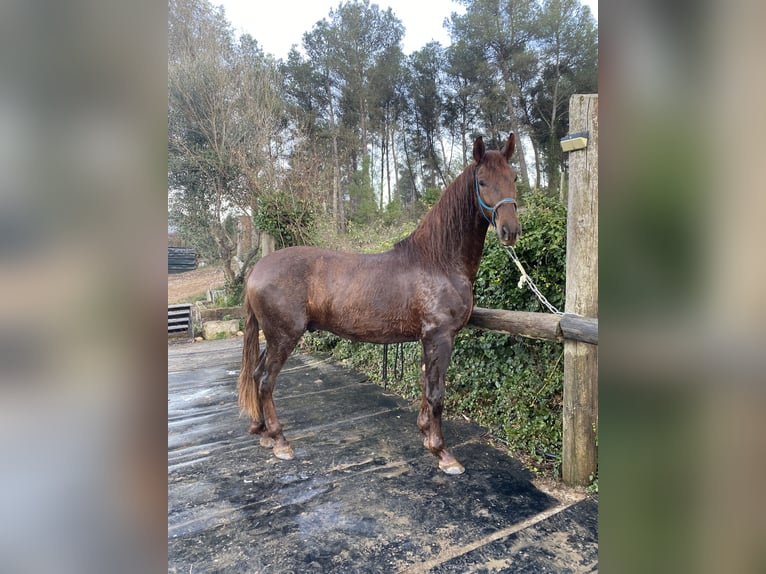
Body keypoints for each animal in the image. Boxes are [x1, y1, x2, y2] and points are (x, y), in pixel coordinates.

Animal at [238, 134, 521, 475]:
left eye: (514, 177)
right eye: (482, 182)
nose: (510, 230)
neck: (438, 260)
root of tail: (257, 269)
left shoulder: (427, 338)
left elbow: (425, 385)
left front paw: (425, 435)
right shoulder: (439, 336)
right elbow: (437, 393)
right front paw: (443, 453)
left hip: (273, 337)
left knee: (256, 374)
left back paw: (263, 433)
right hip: (283, 337)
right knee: (266, 381)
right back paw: (280, 441)